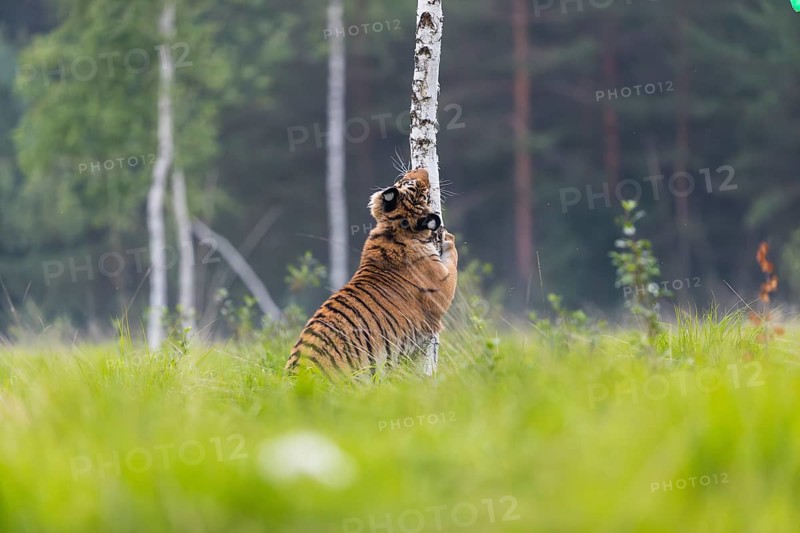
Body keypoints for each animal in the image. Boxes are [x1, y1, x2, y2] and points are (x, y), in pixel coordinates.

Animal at [285, 168, 458, 379]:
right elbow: (454, 262)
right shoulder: (441, 288)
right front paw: (449, 237)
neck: (395, 229)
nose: (423, 170)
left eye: (405, 180)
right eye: (415, 186)